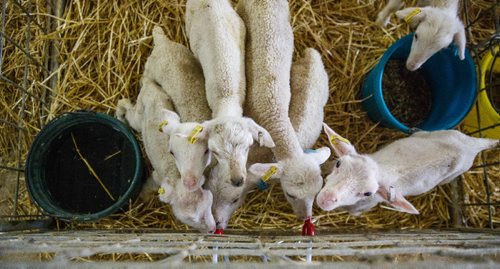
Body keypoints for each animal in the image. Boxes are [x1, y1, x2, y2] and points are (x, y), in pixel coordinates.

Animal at [115, 78, 215, 231]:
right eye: (190, 220)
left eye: (209, 202)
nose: (213, 229)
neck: (174, 176)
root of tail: (149, 85)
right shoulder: (156, 177)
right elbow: (147, 188)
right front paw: (142, 200)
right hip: (139, 113)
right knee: (127, 108)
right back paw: (120, 115)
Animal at [314, 124, 498, 216]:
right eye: (339, 164)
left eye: (367, 193)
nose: (326, 199)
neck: (381, 168)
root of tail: (473, 144)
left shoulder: (361, 208)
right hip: (438, 133)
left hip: (458, 171)